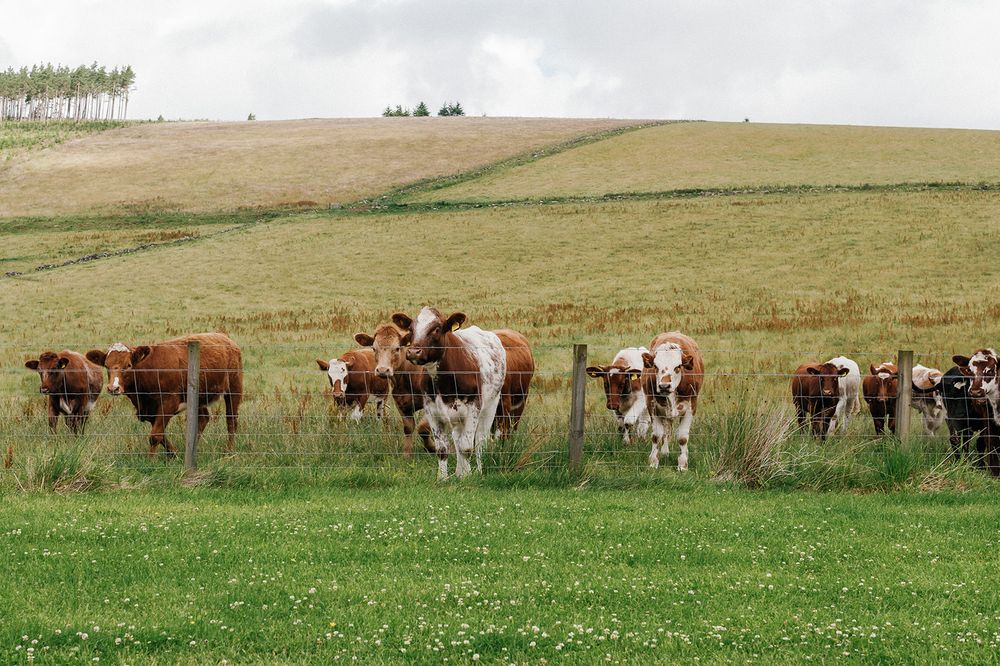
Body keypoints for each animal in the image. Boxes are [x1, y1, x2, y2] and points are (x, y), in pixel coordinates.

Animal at [86, 332, 242, 458]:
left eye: (128, 365)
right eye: (107, 366)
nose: (113, 388)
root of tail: (224, 337)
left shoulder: (168, 402)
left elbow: (155, 436)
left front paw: (150, 462)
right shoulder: (149, 410)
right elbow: (160, 435)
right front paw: (174, 454)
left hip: (234, 388)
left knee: (231, 420)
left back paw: (229, 451)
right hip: (197, 397)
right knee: (203, 418)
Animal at [354, 322, 432, 457]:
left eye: (397, 348)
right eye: (374, 348)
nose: (382, 370)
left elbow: (424, 427)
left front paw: (432, 448)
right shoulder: (401, 402)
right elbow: (408, 428)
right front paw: (407, 455)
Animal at [391, 308, 506, 479]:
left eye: (437, 329)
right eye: (411, 329)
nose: (413, 352)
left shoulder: (473, 407)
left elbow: (467, 447)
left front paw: (467, 476)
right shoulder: (432, 411)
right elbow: (443, 449)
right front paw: (443, 477)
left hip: (491, 405)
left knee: (479, 439)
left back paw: (476, 470)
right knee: (457, 438)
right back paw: (459, 471)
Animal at [640, 332, 704, 470]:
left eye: (678, 367)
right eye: (655, 366)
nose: (664, 386)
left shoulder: (691, 407)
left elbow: (682, 437)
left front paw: (683, 464)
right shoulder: (652, 406)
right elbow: (657, 435)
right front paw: (653, 461)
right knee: (667, 431)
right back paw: (665, 452)